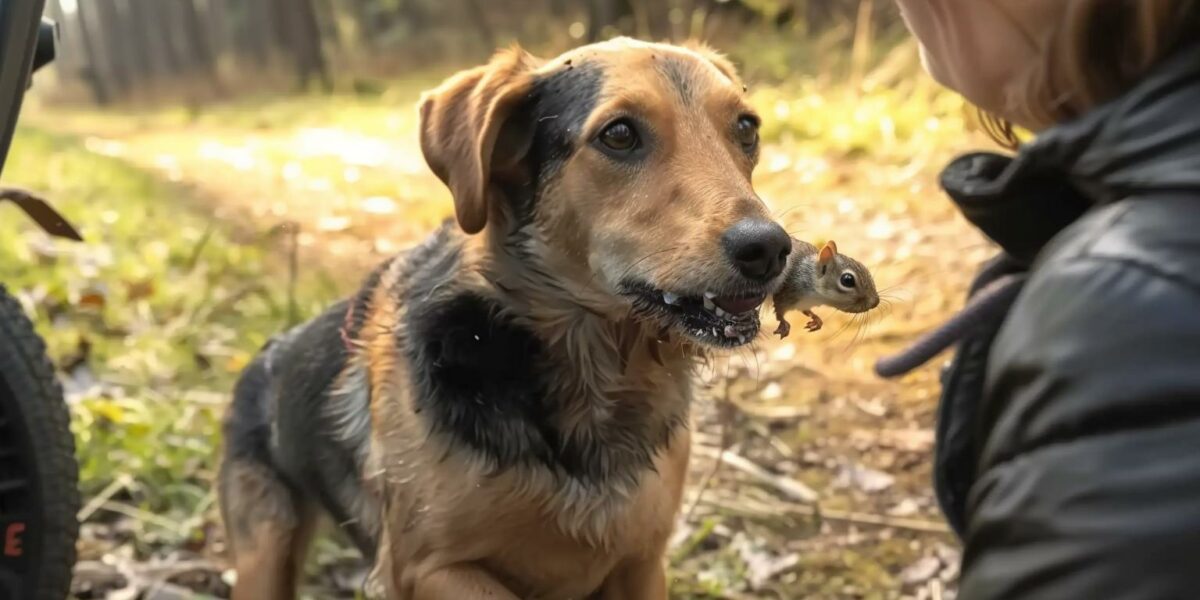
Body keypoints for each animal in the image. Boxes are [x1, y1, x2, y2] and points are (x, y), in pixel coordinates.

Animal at [219, 37, 792, 600]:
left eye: (747, 127)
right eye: (620, 134)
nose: (769, 249)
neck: (595, 374)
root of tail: (269, 352)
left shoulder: (641, 562)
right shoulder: (426, 567)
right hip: (265, 549)